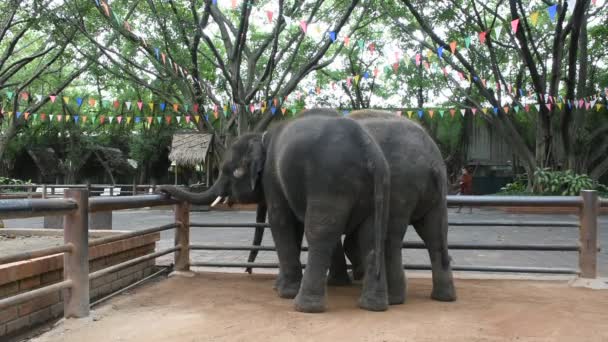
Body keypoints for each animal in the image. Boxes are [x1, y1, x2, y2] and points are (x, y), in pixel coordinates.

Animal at [159, 114, 392, 312]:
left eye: (232, 172)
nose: (162, 189)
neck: (260, 137)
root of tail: (370, 153)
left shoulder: (272, 177)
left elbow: (280, 220)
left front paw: (283, 292)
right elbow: (293, 228)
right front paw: (278, 286)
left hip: (330, 183)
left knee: (320, 233)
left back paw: (304, 306)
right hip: (375, 190)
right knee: (372, 236)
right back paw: (373, 306)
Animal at [248, 108, 456, 304]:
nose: (248, 271)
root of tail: (434, 163)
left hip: (402, 185)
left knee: (393, 237)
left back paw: (394, 299)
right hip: (430, 195)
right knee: (434, 234)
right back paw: (442, 296)